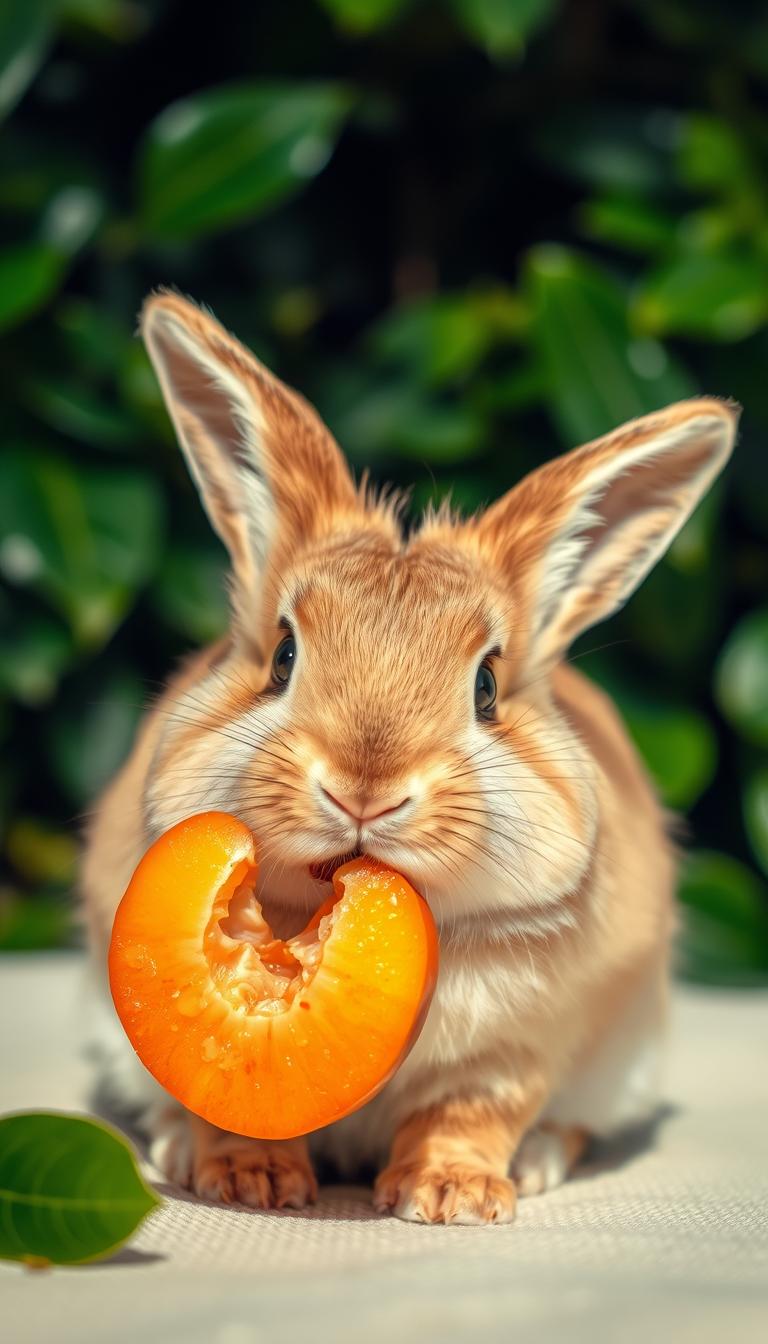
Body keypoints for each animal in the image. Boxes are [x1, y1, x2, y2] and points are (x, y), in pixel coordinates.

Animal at [81, 290, 738, 1224]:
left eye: (488, 687)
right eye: (282, 655)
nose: (365, 789)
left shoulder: (515, 1050)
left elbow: (467, 1113)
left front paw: (451, 1196)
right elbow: (225, 1104)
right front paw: (252, 1183)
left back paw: (537, 1163)